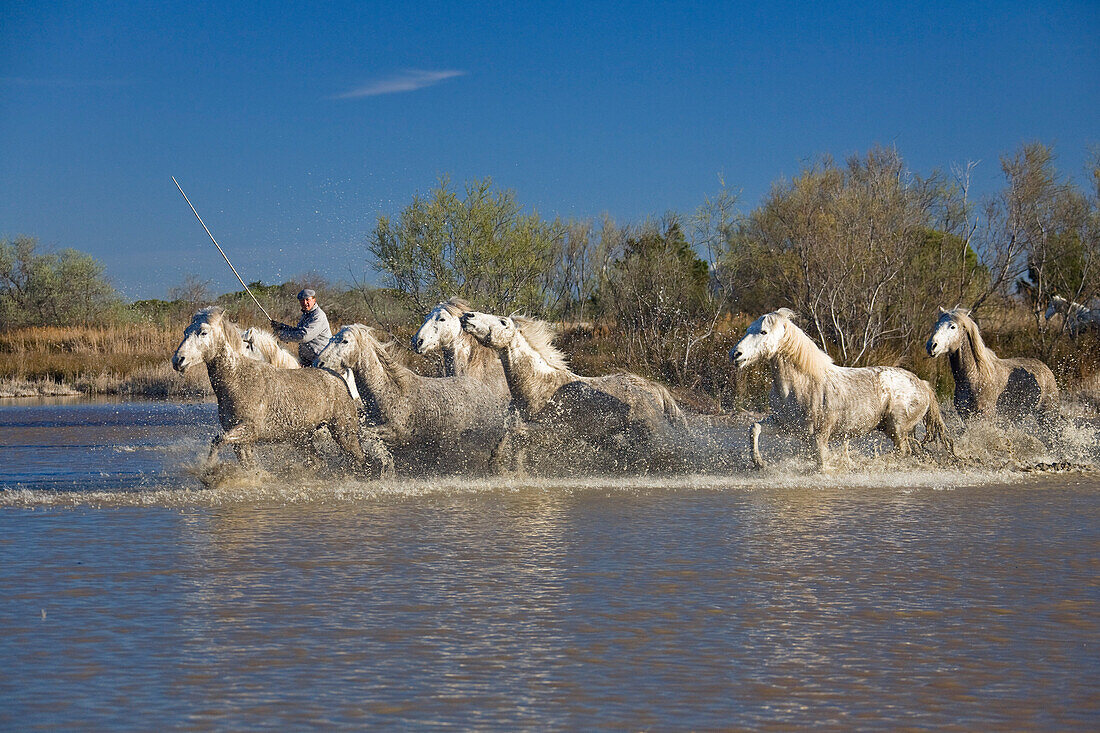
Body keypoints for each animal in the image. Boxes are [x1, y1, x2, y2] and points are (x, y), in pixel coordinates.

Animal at [167, 305, 365, 468]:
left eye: (203, 332)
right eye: (186, 331)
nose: (178, 360)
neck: (238, 378)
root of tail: (339, 379)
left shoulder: (248, 429)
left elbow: (218, 441)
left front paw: (210, 473)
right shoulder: (242, 440)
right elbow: (247, 464)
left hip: (343, 433)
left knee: (359, 457)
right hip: (302, 439)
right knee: (318, 461)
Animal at [316, 321, 508, 473]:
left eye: (345, 341)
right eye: (332, 339)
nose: (319, 362)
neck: (388, 391)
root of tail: (488, 394)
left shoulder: (397, 434)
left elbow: (366, 435)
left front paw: (385, 467)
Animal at [457, 310, 682, 473]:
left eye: (503, 322)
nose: (468, 316)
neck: (538, 386)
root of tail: (655, 388)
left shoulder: (554, 432)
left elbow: (514, 432)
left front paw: (496, 462)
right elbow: (514, 444)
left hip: (649, 432)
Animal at [730, 305, 954, 468]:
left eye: (763, 331)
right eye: (748, 330)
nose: (735, 354)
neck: (801, 385)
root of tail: (922, 384)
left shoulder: (820, 435)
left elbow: (822, 463)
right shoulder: (786, 425)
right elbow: (754, 427)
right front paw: (759, 463)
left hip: (896, 428)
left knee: (902, 451)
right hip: (902, 429)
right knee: (913, 451)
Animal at [924, 305, 1060, 420]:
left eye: (952, 326)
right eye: (936, 324)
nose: (931, 346)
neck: (975, 376)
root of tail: (1045, 367)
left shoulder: (985, 416)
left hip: (1048, 414)